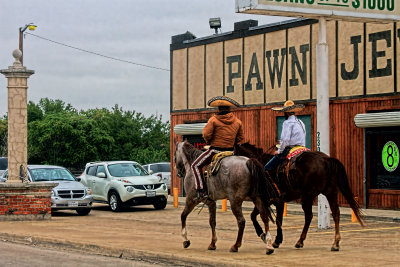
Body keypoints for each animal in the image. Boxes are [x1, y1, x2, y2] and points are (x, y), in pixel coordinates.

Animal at [234, 143, 366, 252]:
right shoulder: (274, 201)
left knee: (309, 216)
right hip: (330, 192)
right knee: (335, 213)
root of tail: (326, 159)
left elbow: (267, 218)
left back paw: (300, 241)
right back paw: (335, 243)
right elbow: (267, 218)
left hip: (307, 196)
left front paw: (267, 236)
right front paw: (274, 239)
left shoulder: (270, 200)